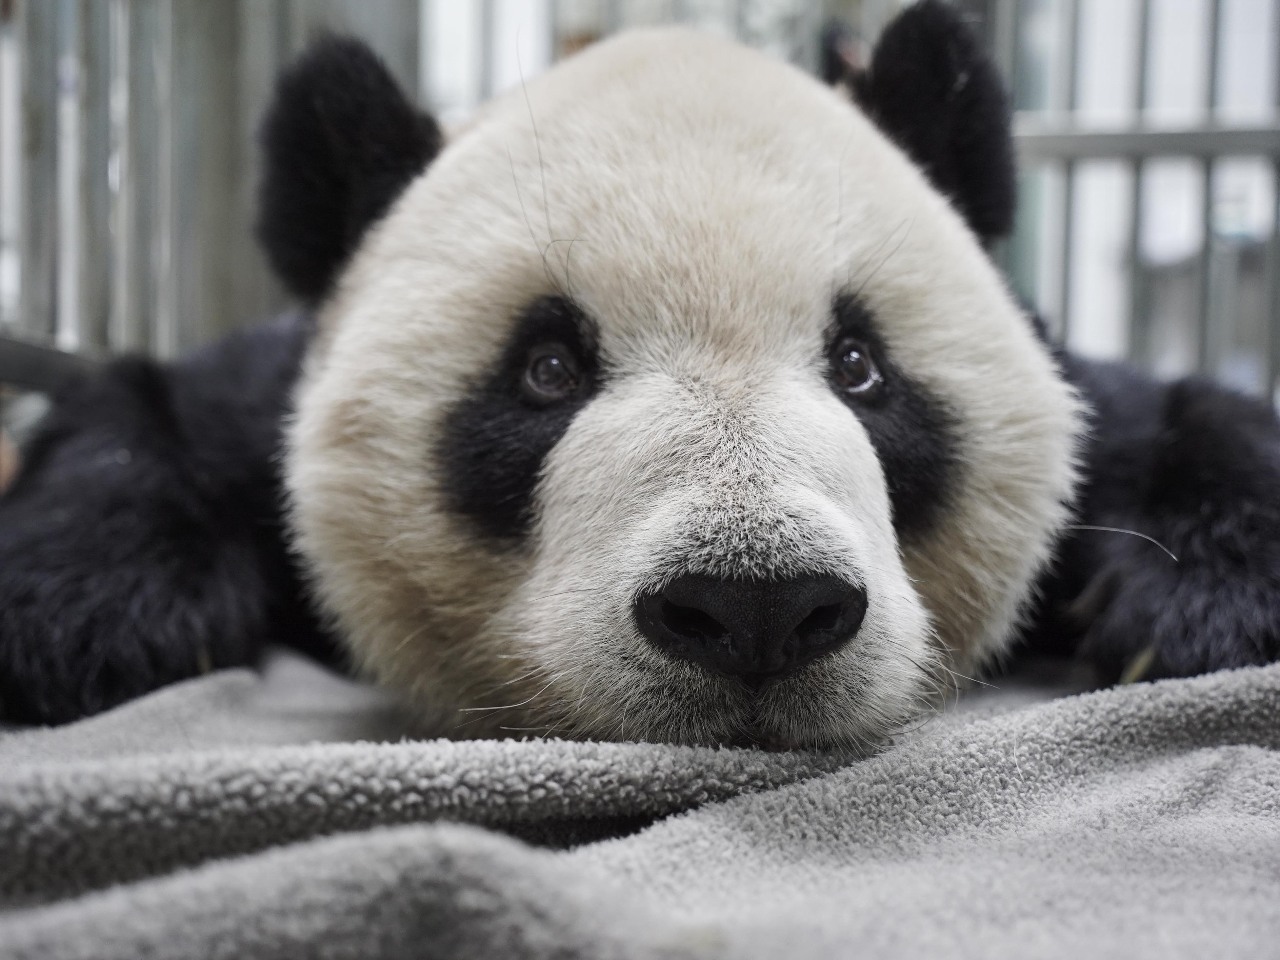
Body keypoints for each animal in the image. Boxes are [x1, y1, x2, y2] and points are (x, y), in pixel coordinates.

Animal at [1, 1, 1278, 748]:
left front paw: (1205, 609)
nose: (757, 606)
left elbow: (1179, 418)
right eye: (546, 369)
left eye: (858, 365)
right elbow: (151, 416)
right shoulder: (268, 385)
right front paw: (77, 621)